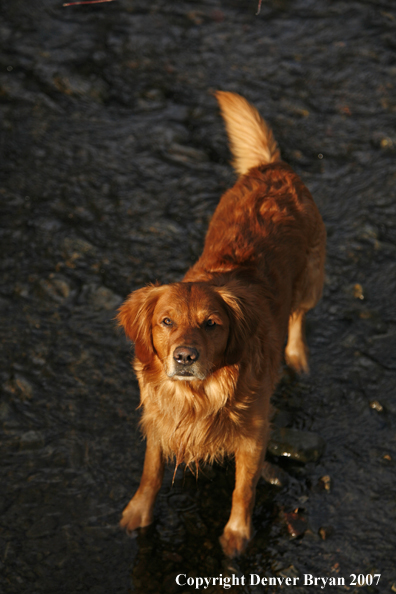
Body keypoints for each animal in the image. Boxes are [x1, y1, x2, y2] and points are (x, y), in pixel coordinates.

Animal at [117, 92, 324, 556]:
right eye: (166, 321)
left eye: (212, 324)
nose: (185, 357)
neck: (198, 396)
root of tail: (271, 167)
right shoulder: (159, 419)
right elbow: (151, 472)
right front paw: (138, 512)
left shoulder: (253, 435)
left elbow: (243, 489)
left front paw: (236, 535)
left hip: (310, 279)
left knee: (299, 317)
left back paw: (298, 357)